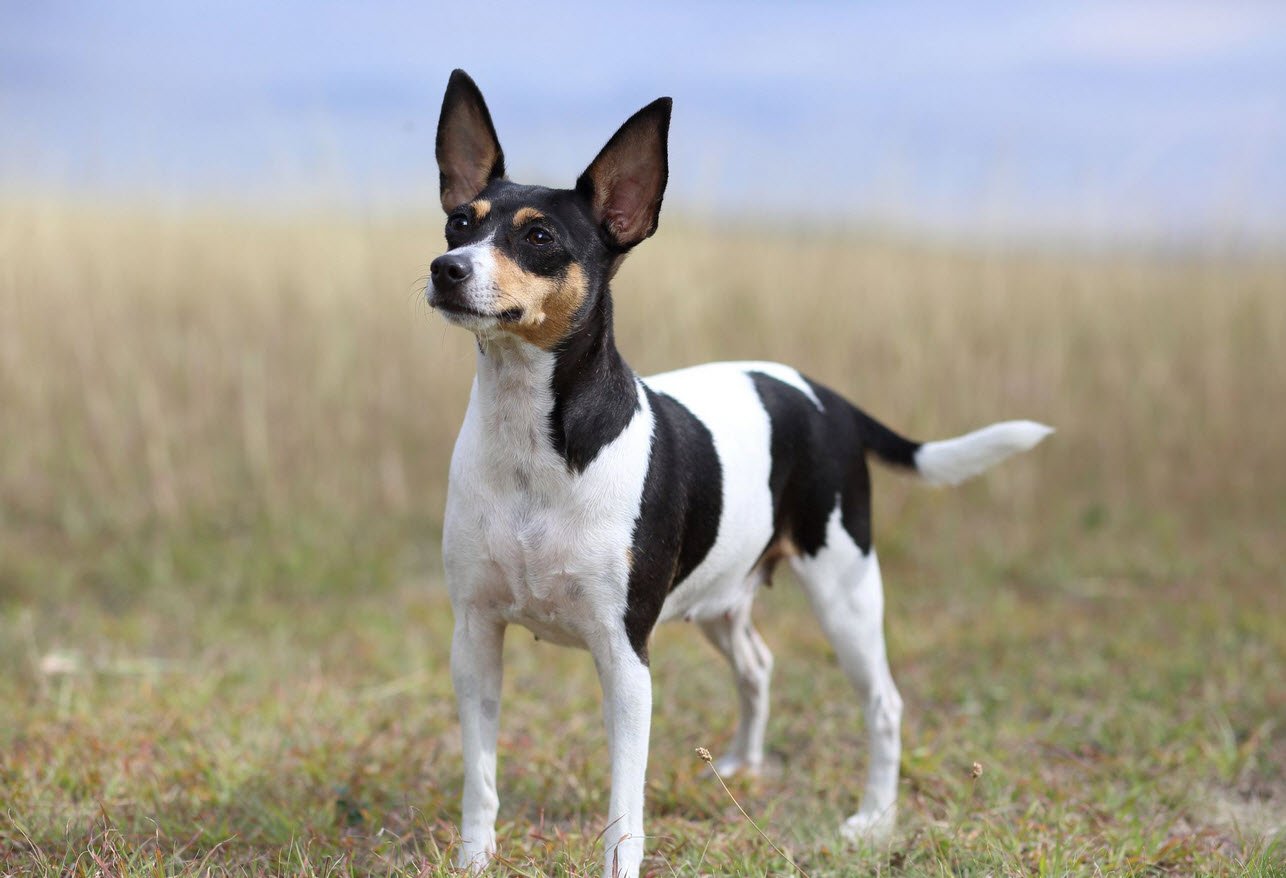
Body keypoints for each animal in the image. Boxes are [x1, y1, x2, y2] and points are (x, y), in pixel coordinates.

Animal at [426, 70, 1049, 878]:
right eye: (458, 223)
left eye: (538, 238)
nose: (446, 270)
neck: (535, 446)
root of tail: (827, 397)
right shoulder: (475, 636)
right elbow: (481, 776)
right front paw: (474, 859)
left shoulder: (626, 658)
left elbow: (624, 806)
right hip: (723, 597)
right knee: (758, 665)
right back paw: (746, 767)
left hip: (846, 592)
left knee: (883, 704)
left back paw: (873, 819)